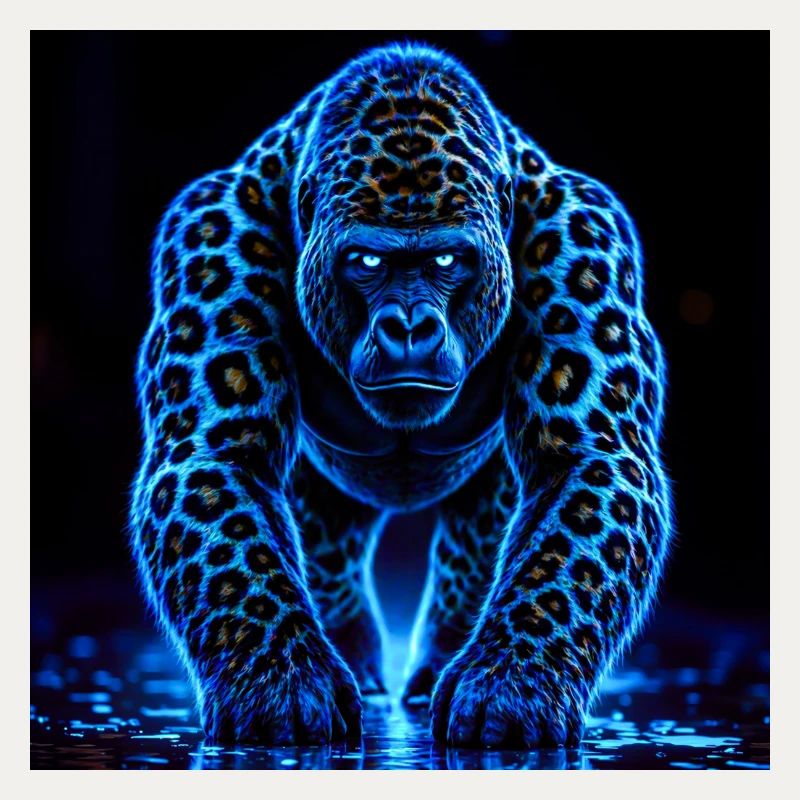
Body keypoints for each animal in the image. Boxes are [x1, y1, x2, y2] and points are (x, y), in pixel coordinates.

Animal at [129, 41, 672, 748]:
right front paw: (281, 682)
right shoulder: (212, 236)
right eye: (367, 262)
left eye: (445, 261)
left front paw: (511, 683)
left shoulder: (586, 240)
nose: (409, 326)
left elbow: (577, 489)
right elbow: (225, 497)